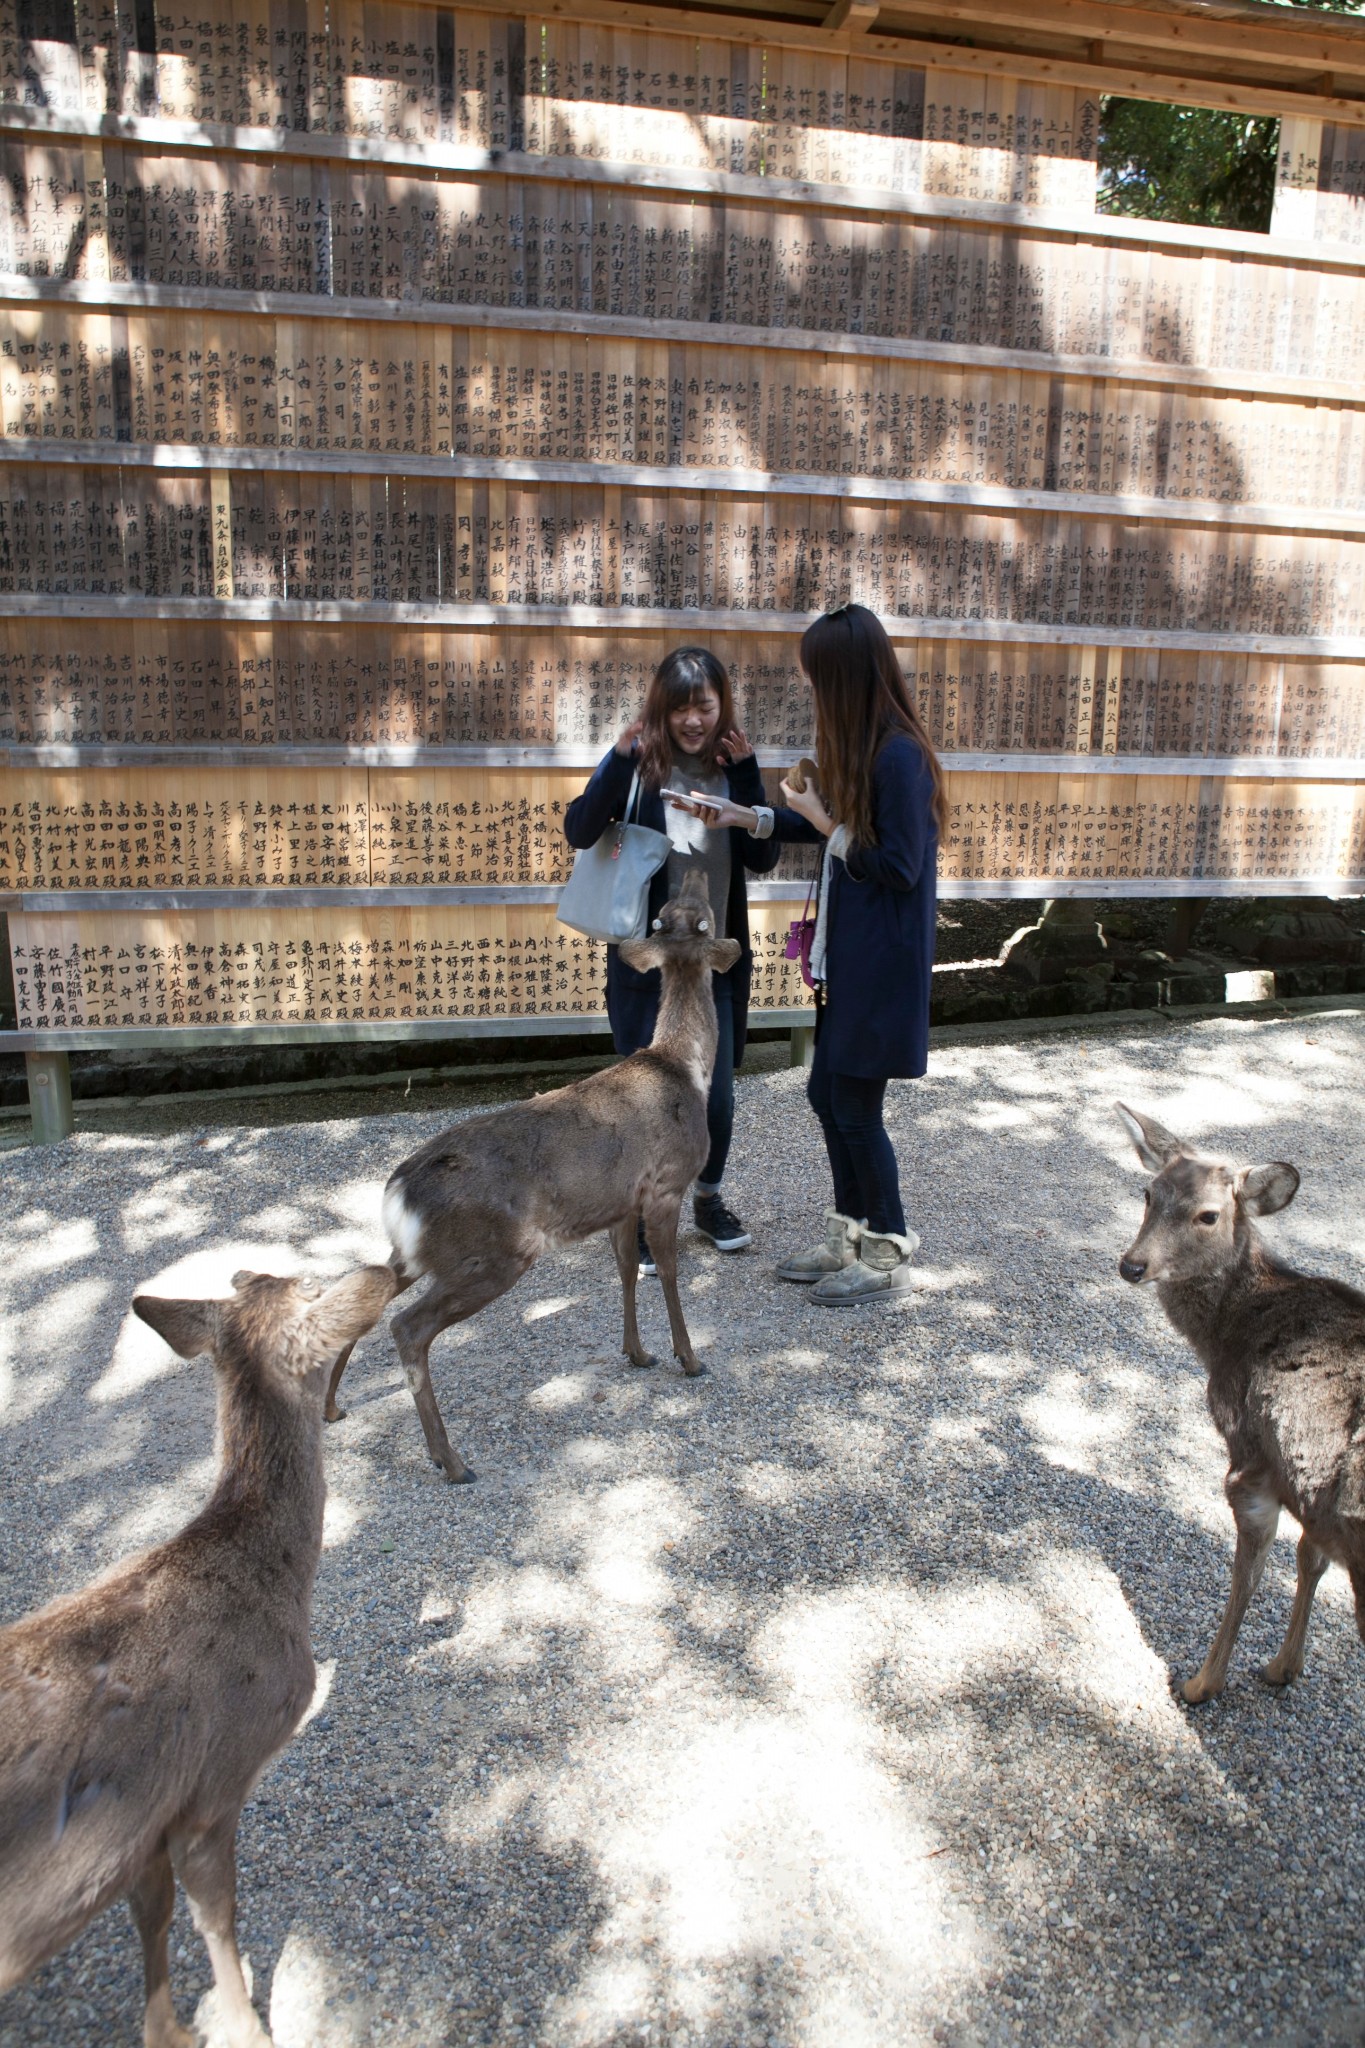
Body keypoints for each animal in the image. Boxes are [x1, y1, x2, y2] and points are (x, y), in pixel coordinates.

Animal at [0, 1261, 397, 2048]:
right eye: (310, 1283)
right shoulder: (217, 1778)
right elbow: (218, 1918)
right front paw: (245, 2025)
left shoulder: (146, 1819)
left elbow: (151, 1917)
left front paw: (168, 2030)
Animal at [325, 868, 740, 1490]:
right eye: (697, 919)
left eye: (668, 916)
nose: (693, 870)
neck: (687, 1069)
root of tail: (397, 1196)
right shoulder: (668, 1183)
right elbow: (667, 1272)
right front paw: (689, 1358)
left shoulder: (621, 1203)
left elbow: (626, 1270)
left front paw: (637, 1353)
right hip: (496, 1251)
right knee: (407, 1327)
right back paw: (451, 1461)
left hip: (418, 1253)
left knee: (362, 1291)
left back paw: (332, 1408)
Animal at [1113, 1114, 1365, 1703]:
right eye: (1148, 1193)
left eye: (1209, 1215)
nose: (1132, 1265)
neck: (1226, 1337)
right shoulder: (1310, 1500)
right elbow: (1311, 1556)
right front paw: (1283, 1667)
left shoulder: (1248, 1455)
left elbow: (1247, 1575)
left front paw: (1201, 1683)